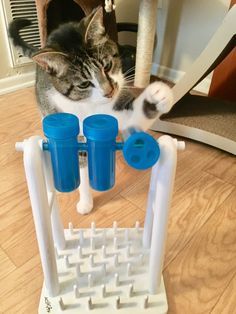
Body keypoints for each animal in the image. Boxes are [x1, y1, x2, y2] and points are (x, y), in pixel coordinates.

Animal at [9, 7, 173, 215]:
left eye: (107, 66)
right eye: (84, 84)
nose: (109, 92)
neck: (89, 105)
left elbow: (134, 116)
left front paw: (157, 96)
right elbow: (81, 167)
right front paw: (85, 202)